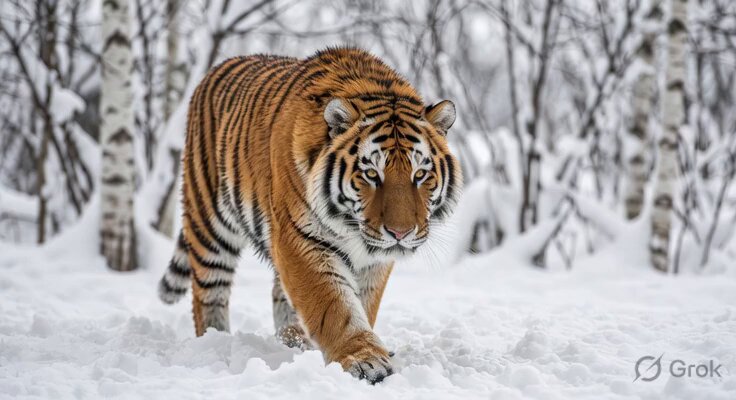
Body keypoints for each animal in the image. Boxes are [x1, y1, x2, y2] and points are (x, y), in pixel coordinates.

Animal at [157, 47, 462, 383]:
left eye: (420, 175)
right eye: (371, 174)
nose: (400, 233)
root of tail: (217, 68)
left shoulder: (373, 261)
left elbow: (362, 303)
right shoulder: (300, 239)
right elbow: (335, 305)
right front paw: (366, 359)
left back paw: (295, 342)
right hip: (210, 225)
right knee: (208, 294)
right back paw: (216, 343)